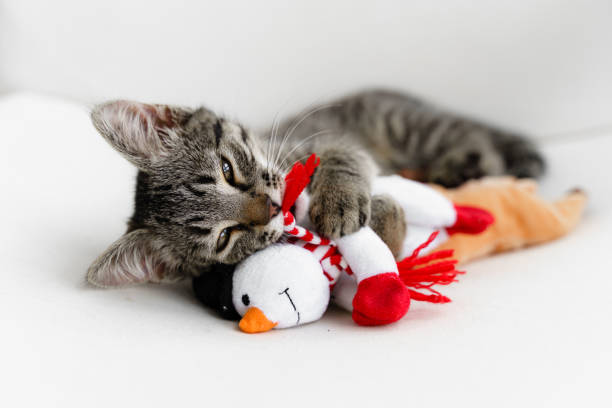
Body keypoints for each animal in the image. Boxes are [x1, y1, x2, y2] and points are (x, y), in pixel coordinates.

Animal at [87, 89, 544, 286]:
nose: (271, 208)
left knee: (476, 142)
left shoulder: (330, 138)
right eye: (224, 238)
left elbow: (341, 159)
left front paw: (340, 202)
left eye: (227, 169)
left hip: (408, 126)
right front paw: (386, 215)